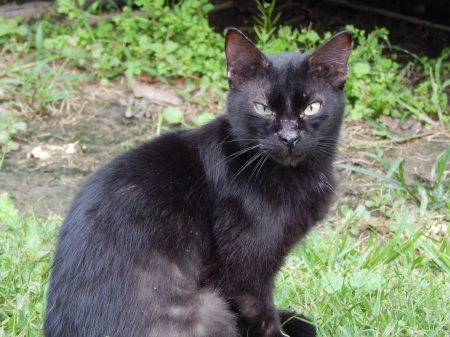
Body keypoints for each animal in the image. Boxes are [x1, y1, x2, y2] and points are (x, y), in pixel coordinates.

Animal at [43, 27, 352, 334]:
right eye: (263, 108)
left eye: (311, 107)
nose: (289, 138)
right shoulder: (242, 268)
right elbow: (261, 314)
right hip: (206, 309)